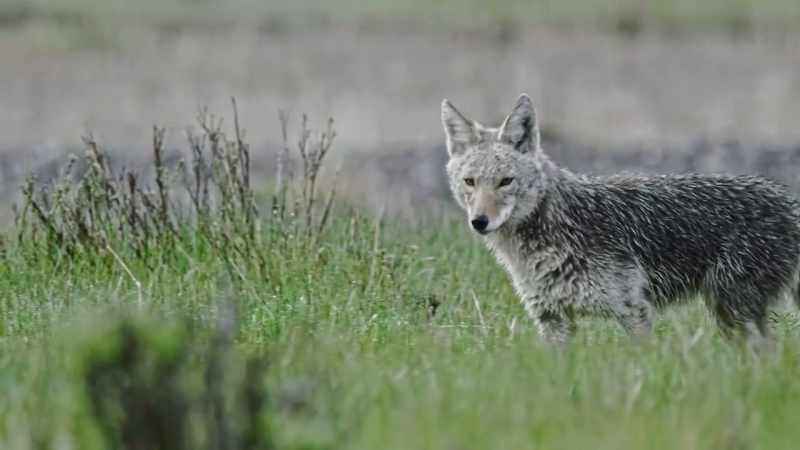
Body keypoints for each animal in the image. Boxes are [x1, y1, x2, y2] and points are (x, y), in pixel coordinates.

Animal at [441, 93, 800, 348]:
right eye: (470, 182)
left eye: (505, 182)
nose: (480, 222)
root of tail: (789, 202)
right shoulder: (552, 320)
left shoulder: (634, 312)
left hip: (734, 312)